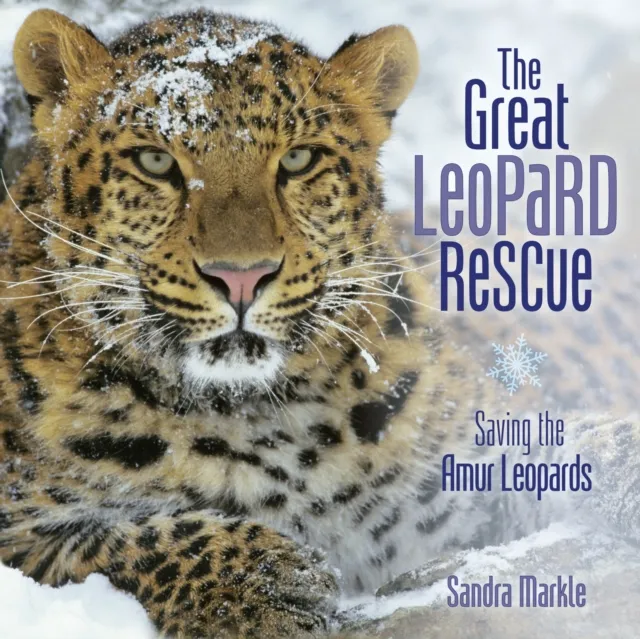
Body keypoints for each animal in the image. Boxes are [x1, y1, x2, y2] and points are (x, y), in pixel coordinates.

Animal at [0, 8, 639, 639]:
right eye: (155, 162)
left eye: (299, 159)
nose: (241, 278)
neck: (260, 418)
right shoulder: (18, 526)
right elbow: (120, 541)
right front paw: (259, 589)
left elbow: (550, 446)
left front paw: (625, 465)